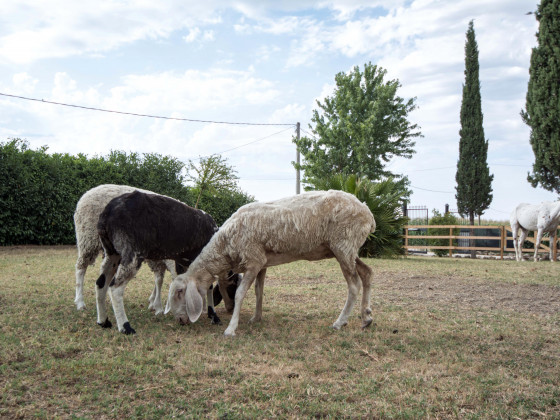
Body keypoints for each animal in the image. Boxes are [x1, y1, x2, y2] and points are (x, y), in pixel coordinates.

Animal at [97, 191, 231, 334]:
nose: (182, 321)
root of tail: (108, 211)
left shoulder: (183, 264)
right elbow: (209, 286)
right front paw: (213, 316)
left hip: (112, 252)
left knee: (101, 282)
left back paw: (103, 321)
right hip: (132, 252)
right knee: (115, 288)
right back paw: (125, 327)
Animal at [166, 190, 376, 338]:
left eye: (179, 292)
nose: (180, 320)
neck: (224, 245)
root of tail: (368, 214)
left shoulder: (253, 259)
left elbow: (241, 293)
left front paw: (231, 328)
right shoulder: (262, 263)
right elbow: (259, 291)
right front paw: (256, 318)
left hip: (344, 245)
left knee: (354, 285)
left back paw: (340, 322)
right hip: (347, 250)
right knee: (367, 273)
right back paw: (366, 317)